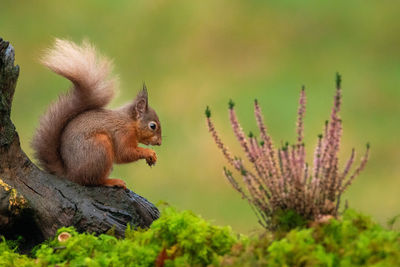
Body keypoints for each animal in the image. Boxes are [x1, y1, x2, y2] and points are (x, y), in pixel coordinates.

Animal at [31, 40, 161, 191]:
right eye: (152, 126)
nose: (159, 143)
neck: (130, 122)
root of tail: (70, 174)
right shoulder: (122, 133)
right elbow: (125, 153)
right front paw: (149, 153)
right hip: (100, 147)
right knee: (92, 180)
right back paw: (111, 181)